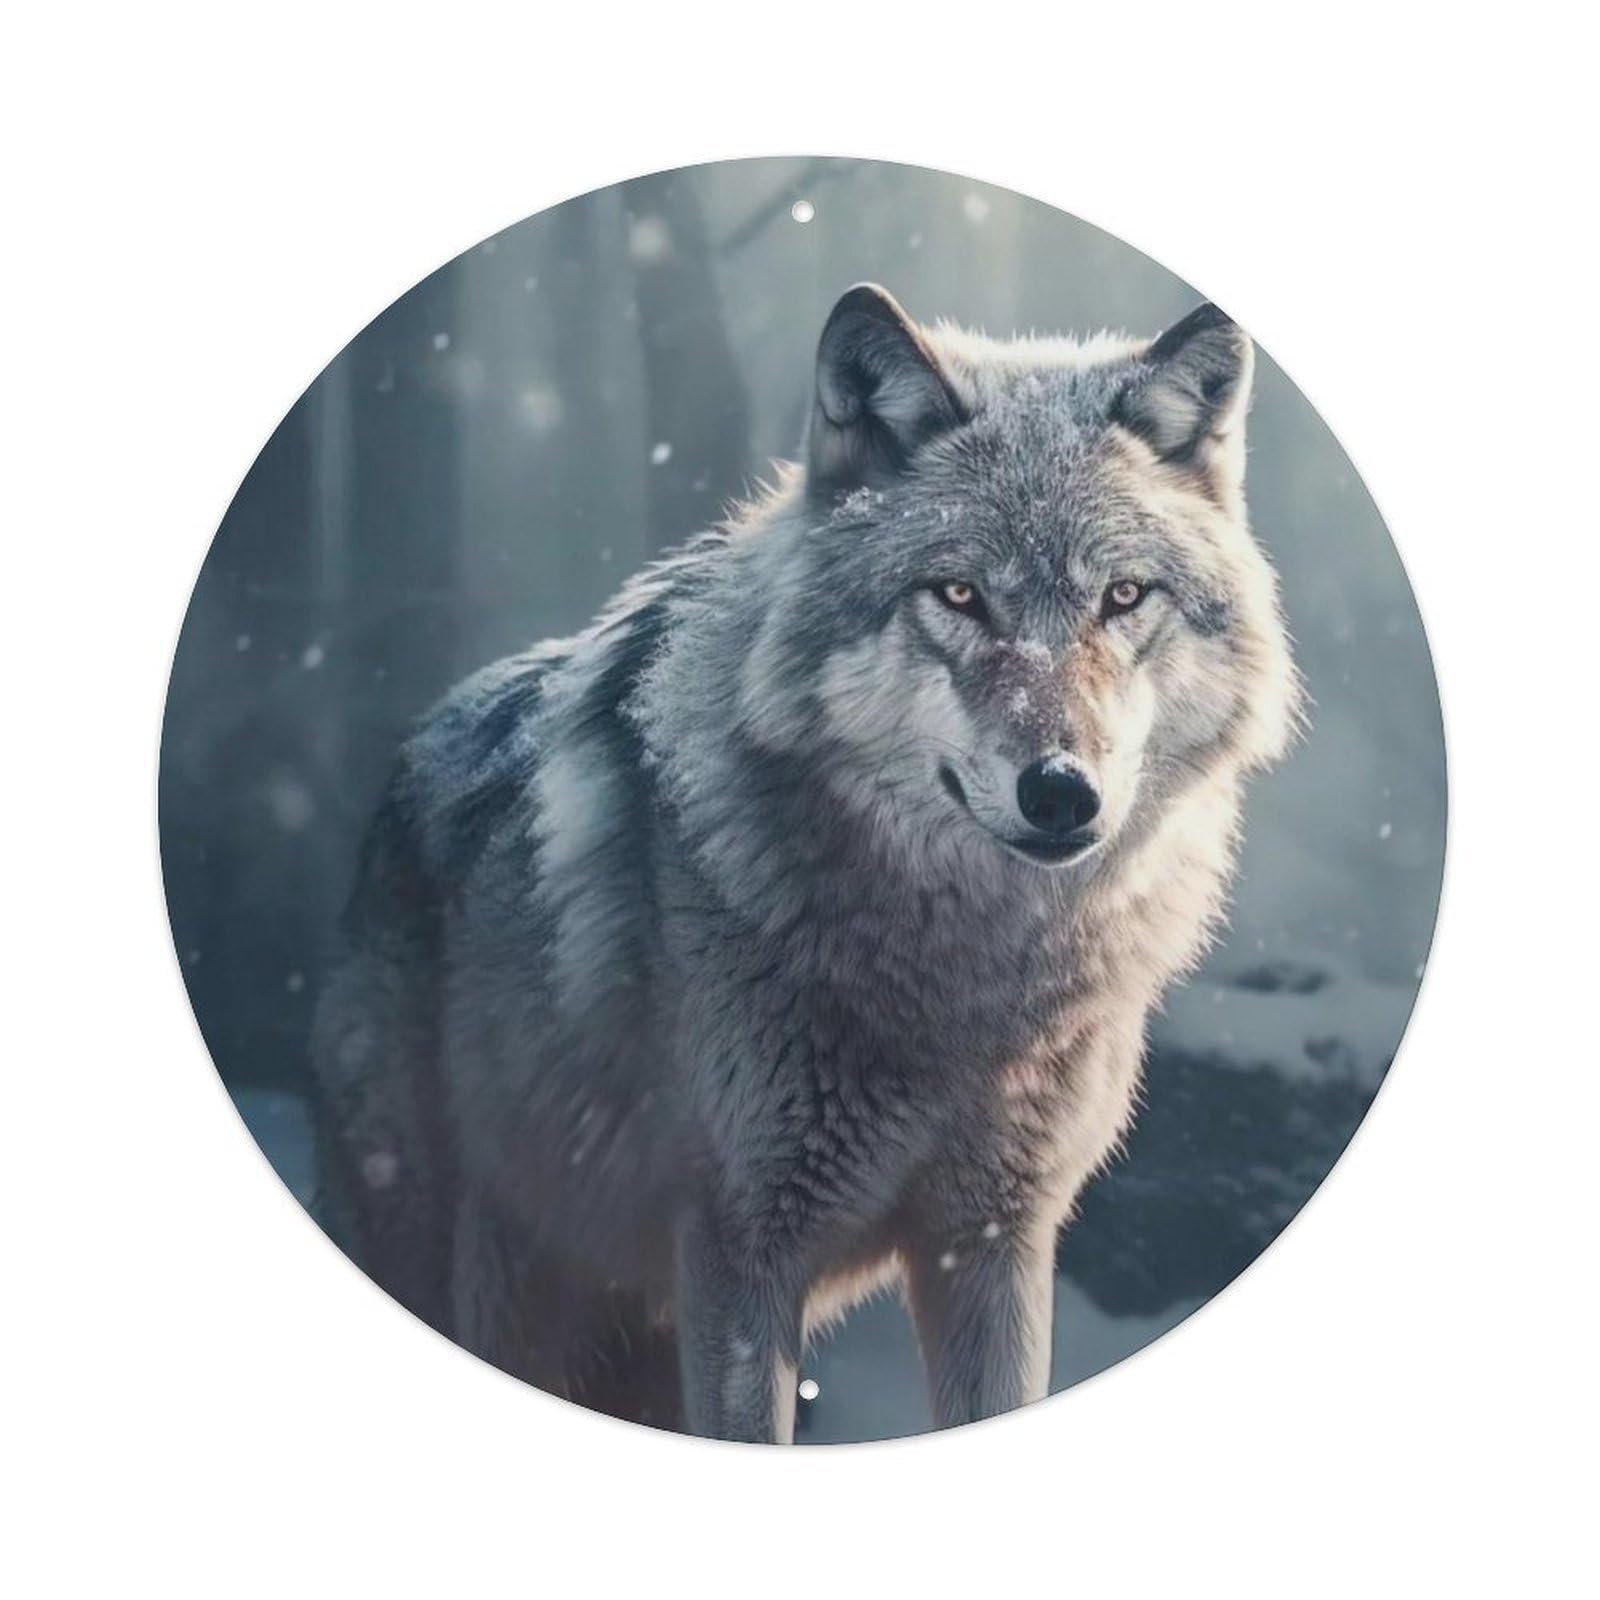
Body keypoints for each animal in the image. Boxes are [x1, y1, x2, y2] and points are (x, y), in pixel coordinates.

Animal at [311, 283, 1300, 1442]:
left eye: (1125, 597)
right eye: (958, 596)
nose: (1061, 791)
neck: (966, 989)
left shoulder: (997, 1243)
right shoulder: (738, 1249)